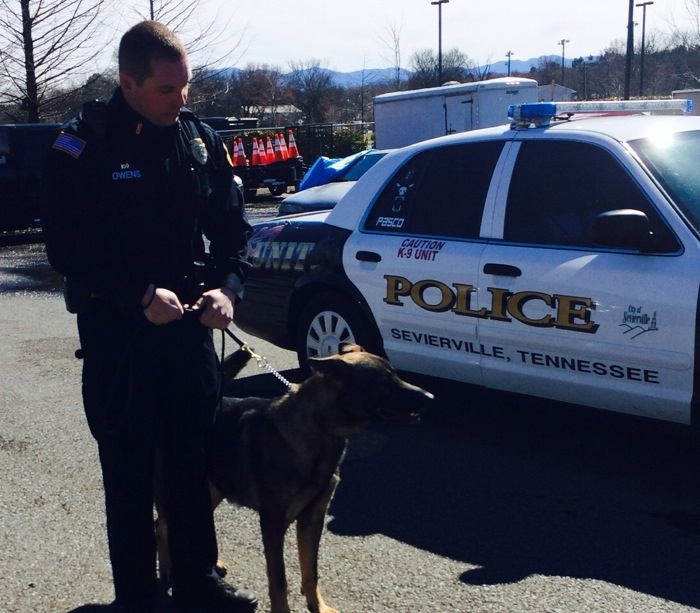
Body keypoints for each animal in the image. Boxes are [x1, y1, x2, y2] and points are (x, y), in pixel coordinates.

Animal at [155, 343, 433, 613]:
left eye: (396, 374)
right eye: (384, 381)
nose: (430, 397)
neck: (321, 430)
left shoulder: (312, 519)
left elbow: (311, 571)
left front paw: (317, 606)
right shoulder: (273, 522)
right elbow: (279, 579)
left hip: (212, 490)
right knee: (162, 524)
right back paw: (169, 570)